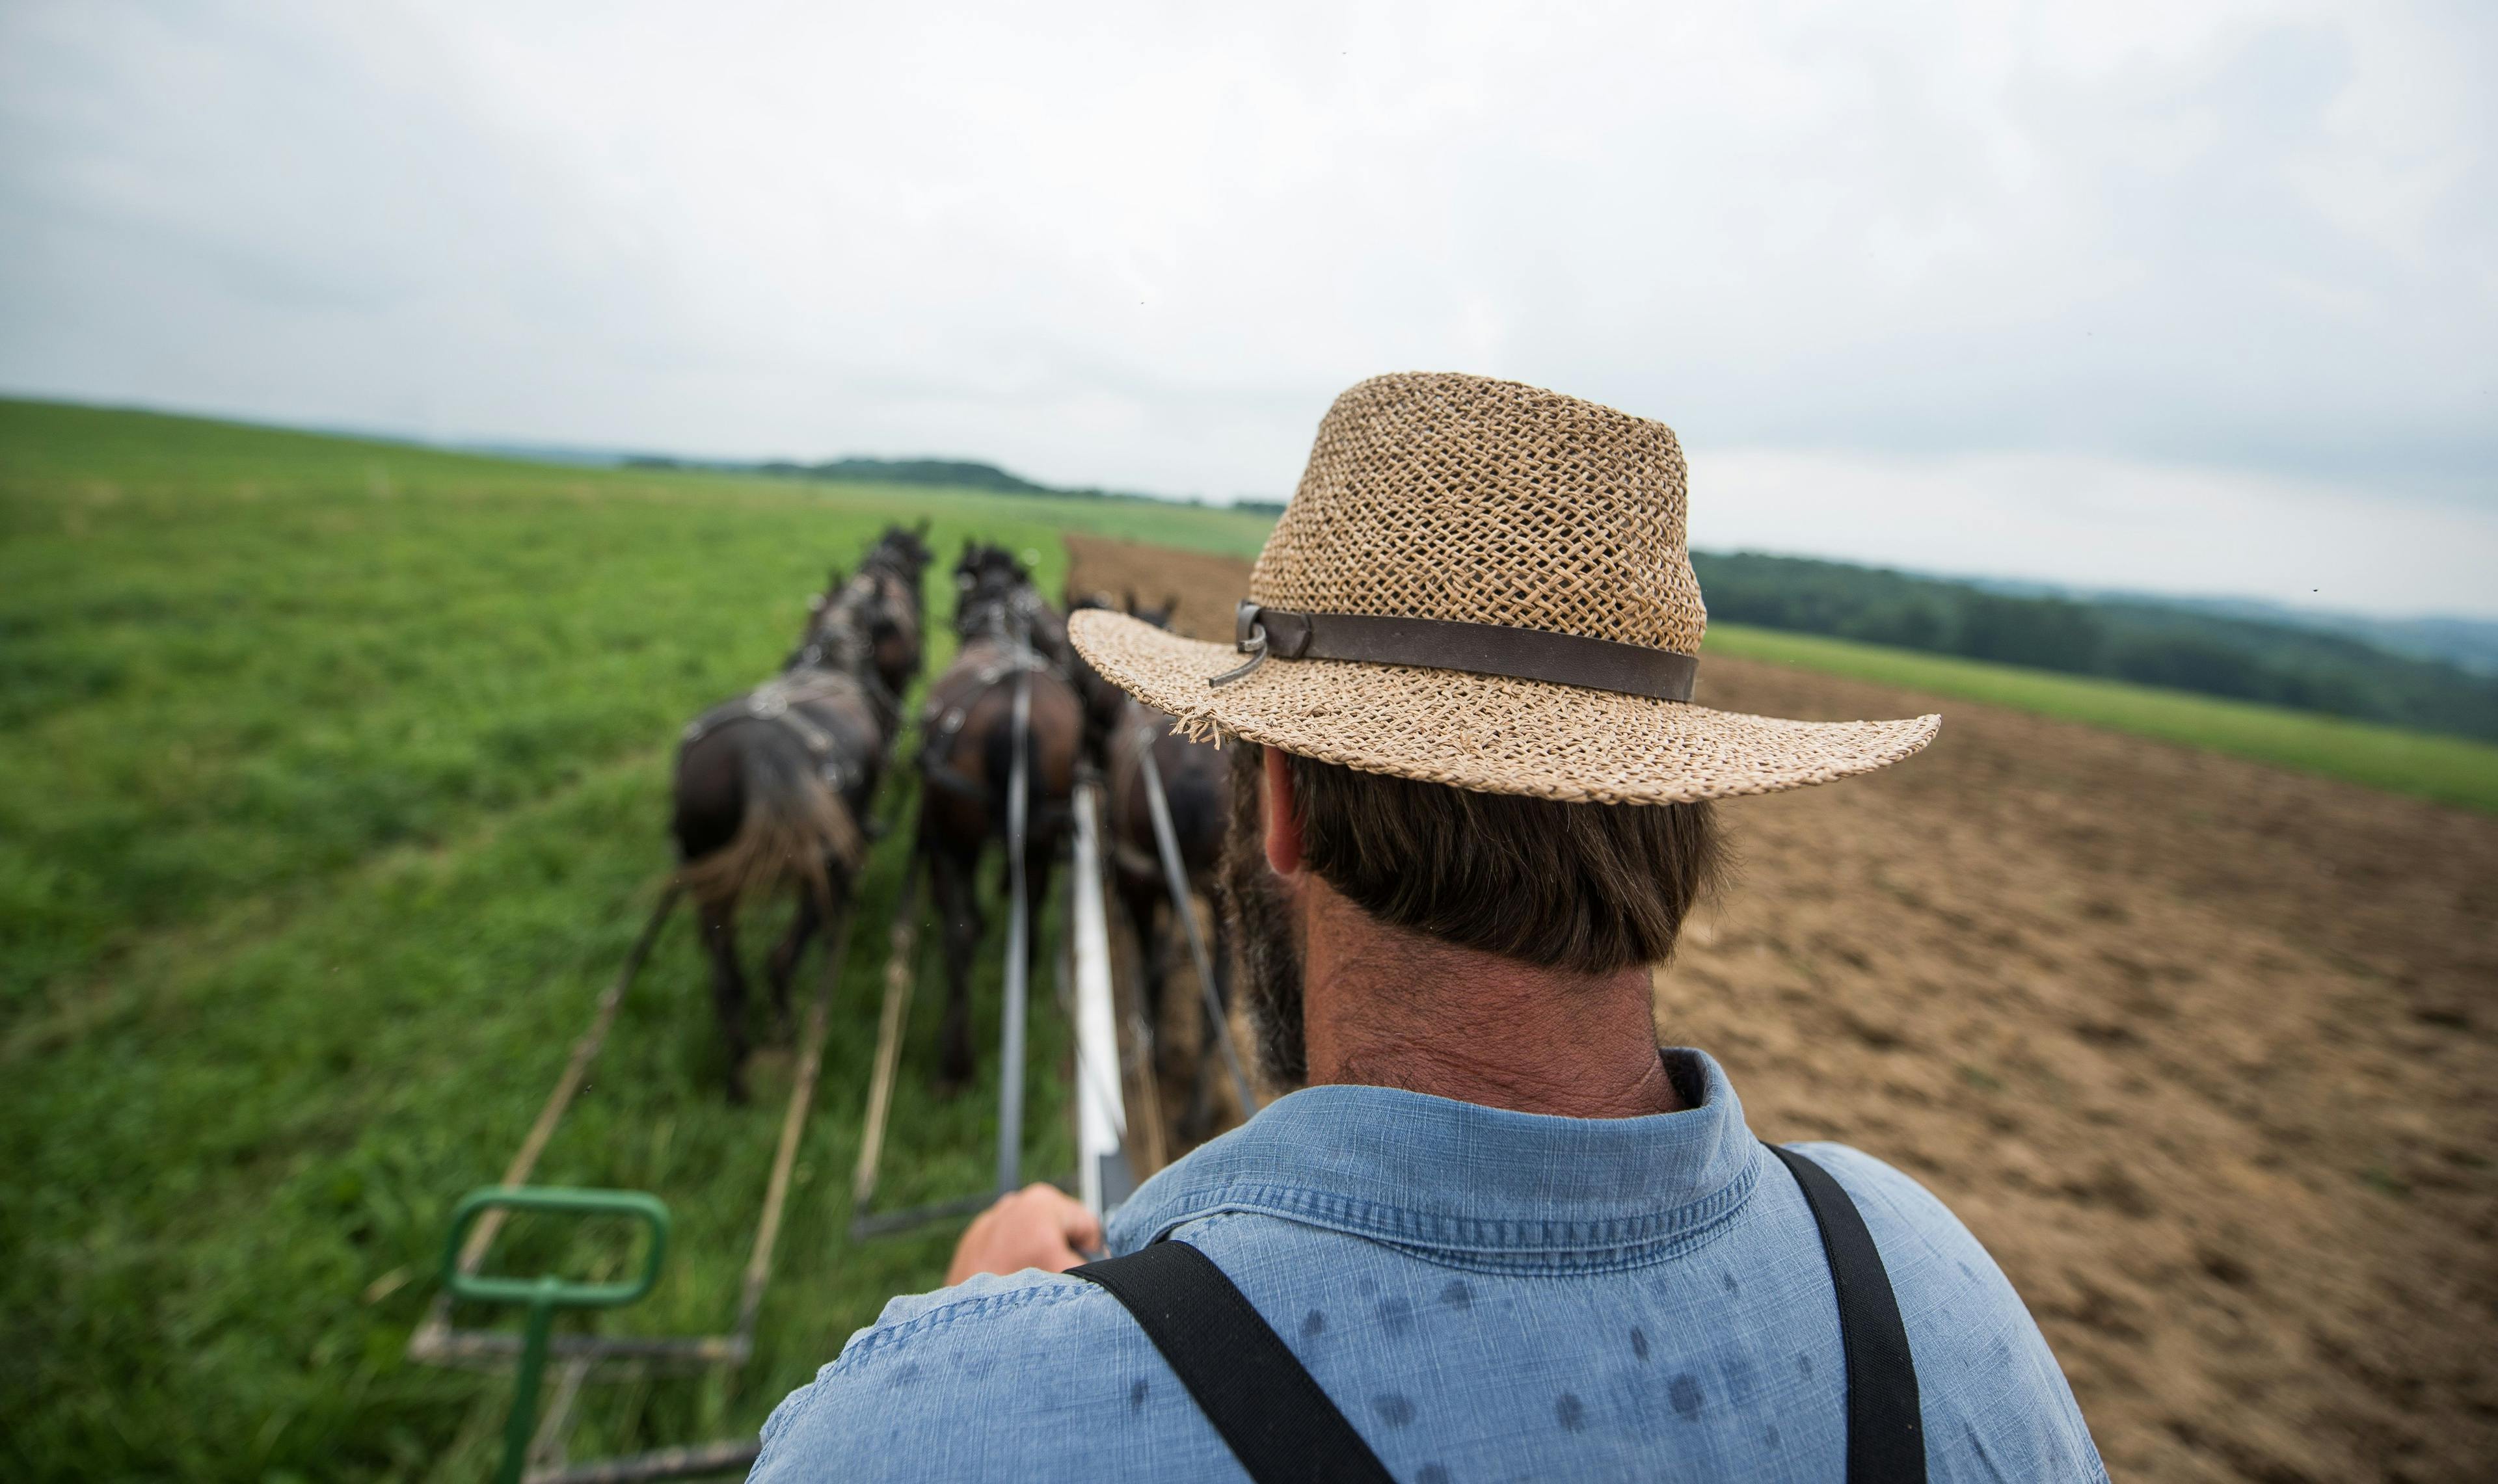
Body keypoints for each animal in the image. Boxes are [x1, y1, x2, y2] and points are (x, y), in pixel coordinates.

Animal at [669, 524, 934, 1094]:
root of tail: (764, 756)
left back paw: (739, 1078)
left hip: (709, 882)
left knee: (728, 982)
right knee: (780, 961)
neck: (837, 657)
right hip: (819, 871)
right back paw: (789, 1038)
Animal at [914, 542, 1079, 1084]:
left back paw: (955, 1058)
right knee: (1027, 911)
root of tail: (1012, 717)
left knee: (960, 931)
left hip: (952, 841)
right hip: (1039, 840)